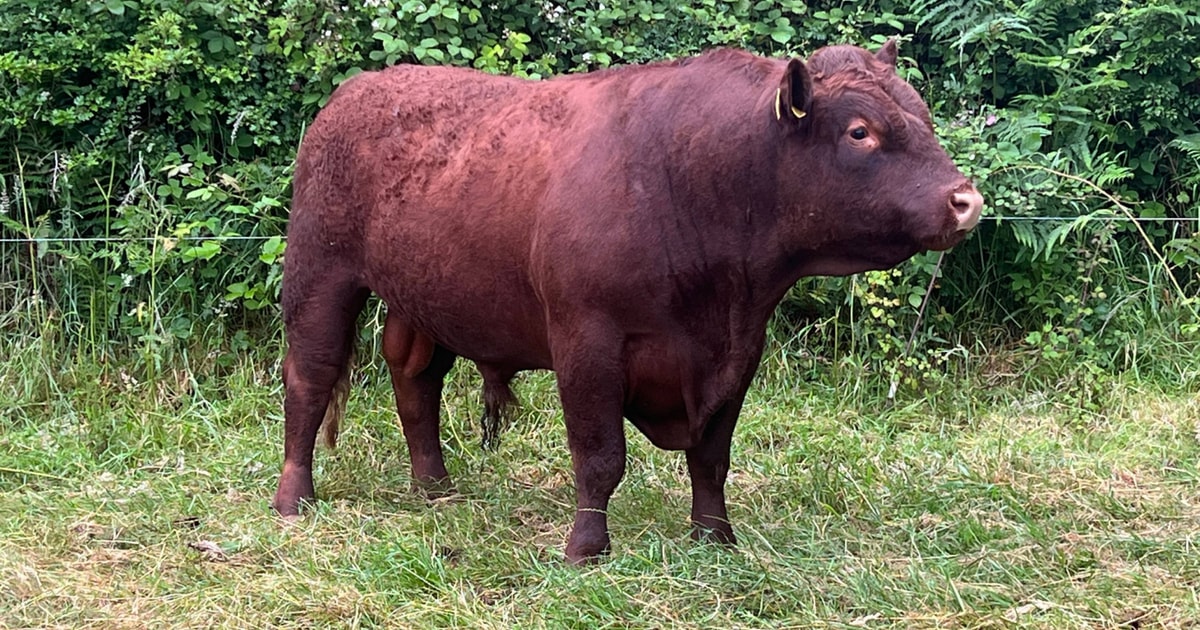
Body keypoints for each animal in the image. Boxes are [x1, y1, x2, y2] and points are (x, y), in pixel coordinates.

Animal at [272, 40, 983, 564]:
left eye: (922, 113)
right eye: (860, 132)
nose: (966, 199)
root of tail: (361, 87)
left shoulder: (738, 351)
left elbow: (712, 458)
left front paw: (715, 540)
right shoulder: (587, 341)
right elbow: (600, 456)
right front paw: (586, 549)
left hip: (429, 296)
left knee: (416, 380)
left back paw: (436, 491)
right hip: (320, 274)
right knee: (310, 380)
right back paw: (293, 500)